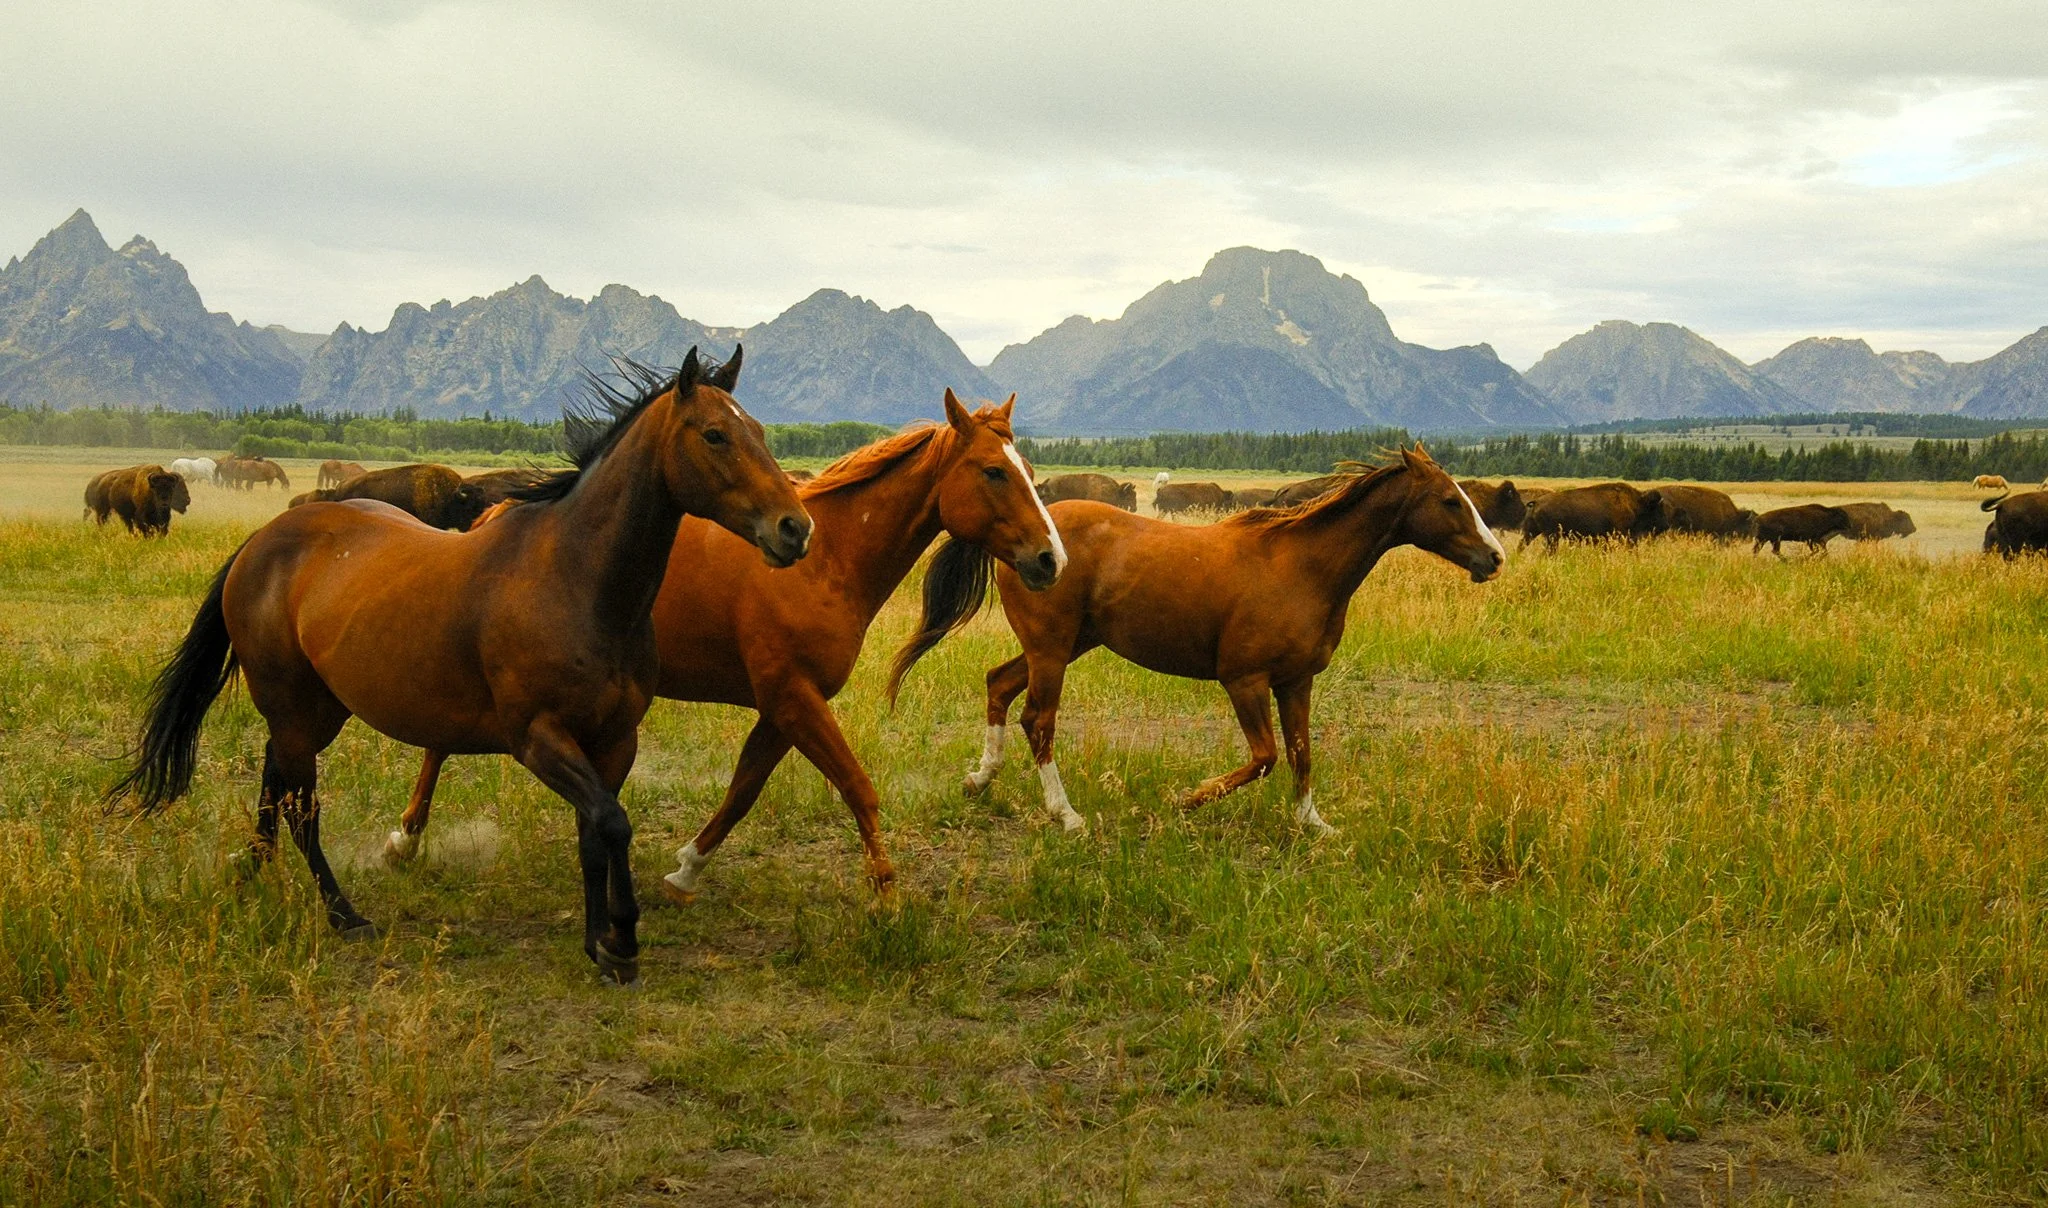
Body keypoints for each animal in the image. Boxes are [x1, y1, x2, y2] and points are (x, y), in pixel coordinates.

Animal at [109, 349, 813, 984]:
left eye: (760, 432)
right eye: (715, 434)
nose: (795, 529)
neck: (576, 582)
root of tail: (261, 542)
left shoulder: (615, 740)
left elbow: (594, 832)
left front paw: (599, 943)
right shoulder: (538, 739)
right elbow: (612, 823)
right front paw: (621, 941)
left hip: (316, 709)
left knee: (273, 780)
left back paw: (255, 868)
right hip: (293, 707)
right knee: (300, 805)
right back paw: (343, 914)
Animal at [380, 391, 1066, 905]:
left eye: (1031, 473)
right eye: (994, 471)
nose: (1050, 560)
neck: (826, 560)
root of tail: (491, 518)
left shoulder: (782, 708)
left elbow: (743, 792)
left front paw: (686, 869)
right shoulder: (793, 698)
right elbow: (857, 785)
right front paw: (887, 893)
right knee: (437, 749)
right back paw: (403, 842)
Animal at [914, 447, 1503, 835]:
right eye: (1450, 501)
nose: (1495, 557)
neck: (1303, 568)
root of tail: (1022, 541)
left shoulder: (1297, 682)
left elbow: (1301, 753)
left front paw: (1313, 824)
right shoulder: (1244, 680)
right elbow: (1266, 757)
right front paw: (1188, 798)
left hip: (1064, 646)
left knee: (998, 684)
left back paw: (979, 780)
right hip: (1052, 650)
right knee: (1037, 720)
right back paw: (1066, 814)